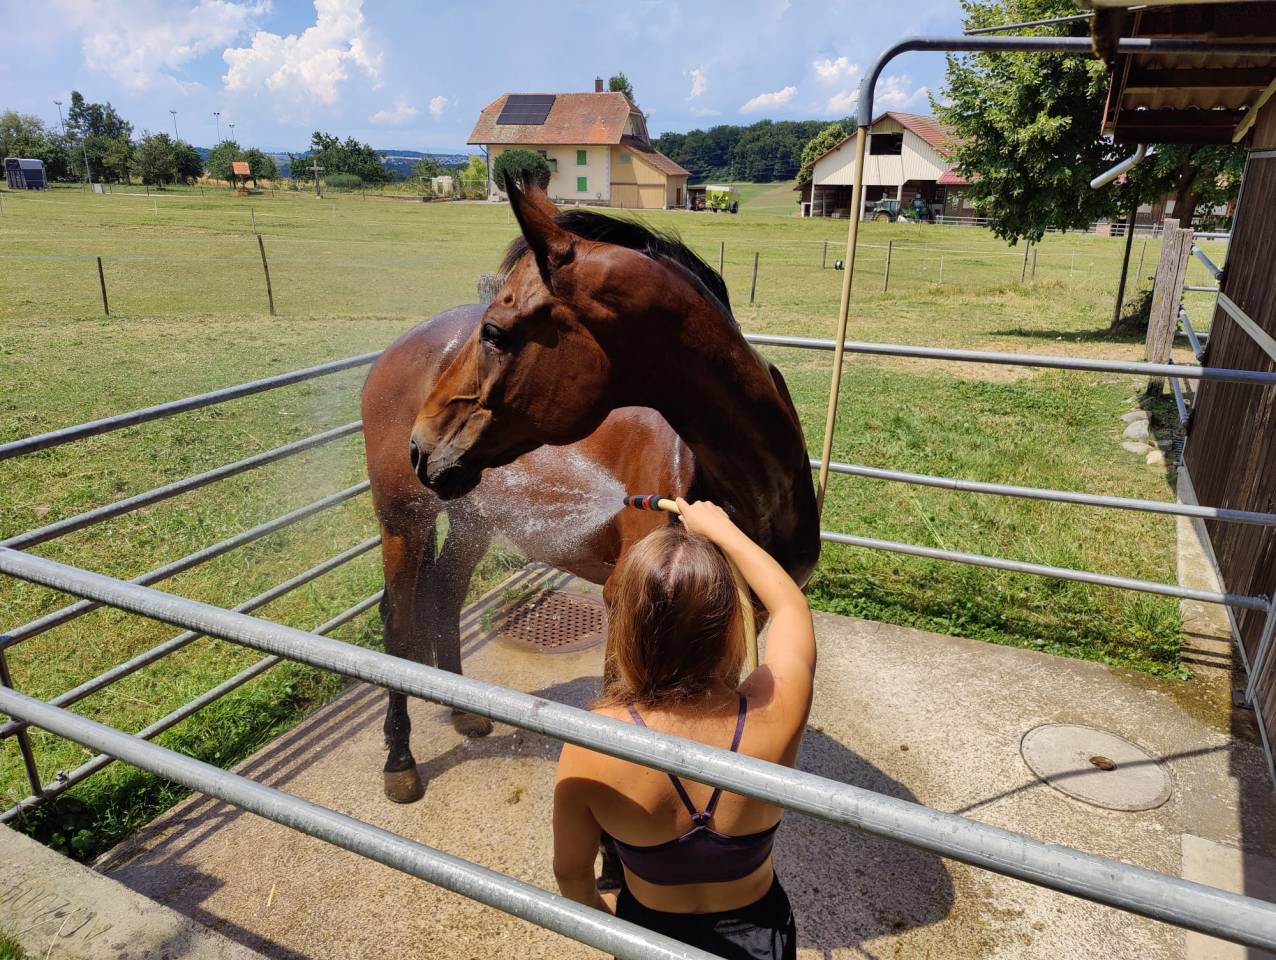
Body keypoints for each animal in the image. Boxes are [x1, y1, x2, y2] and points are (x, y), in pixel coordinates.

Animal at [361, 178, 820, 803]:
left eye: (495, 333)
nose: (420, 446)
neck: (754, 486)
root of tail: (398, 347)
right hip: (403, 523)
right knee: (401, 624)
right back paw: (400, 760)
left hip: (472, 521)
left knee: (444, 596)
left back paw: (465, 711)